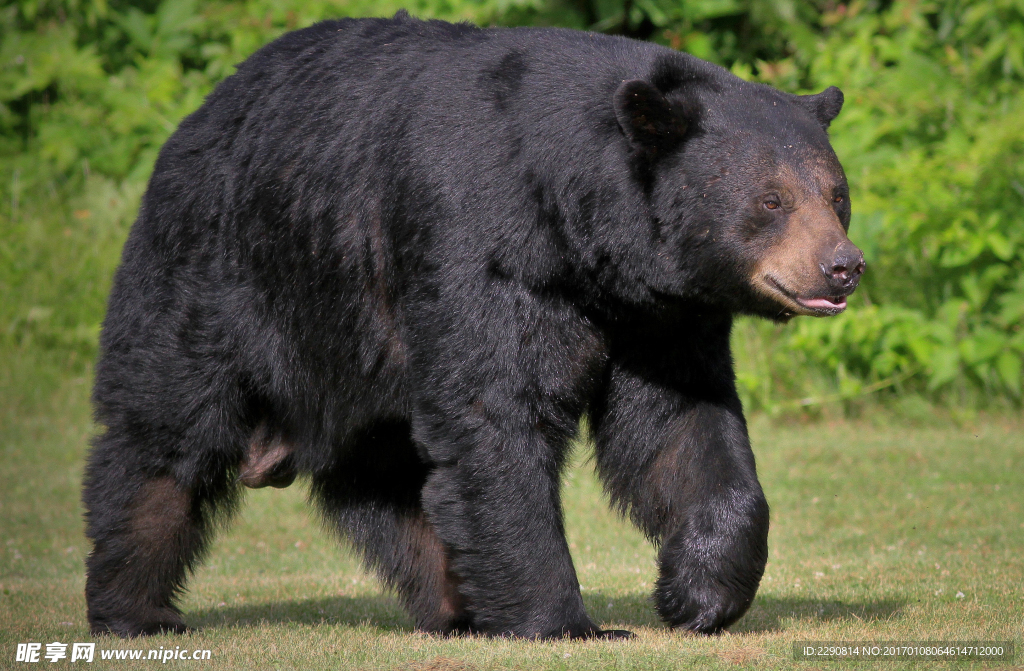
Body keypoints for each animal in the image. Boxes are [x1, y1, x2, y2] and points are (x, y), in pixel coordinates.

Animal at [83, 12, 864, 639]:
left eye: (836, 193)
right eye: (772, 199)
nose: (843, 267)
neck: (580, 231)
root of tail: (198, 117)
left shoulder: (658, 314)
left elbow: (681, 427)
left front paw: (696, 593)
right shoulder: (482, 242)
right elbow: (497, 411)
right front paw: (566, 621)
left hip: (364, 360)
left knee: (393, 482)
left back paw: (458, 607)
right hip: (221, 275)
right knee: (167, 436)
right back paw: (137, 607)